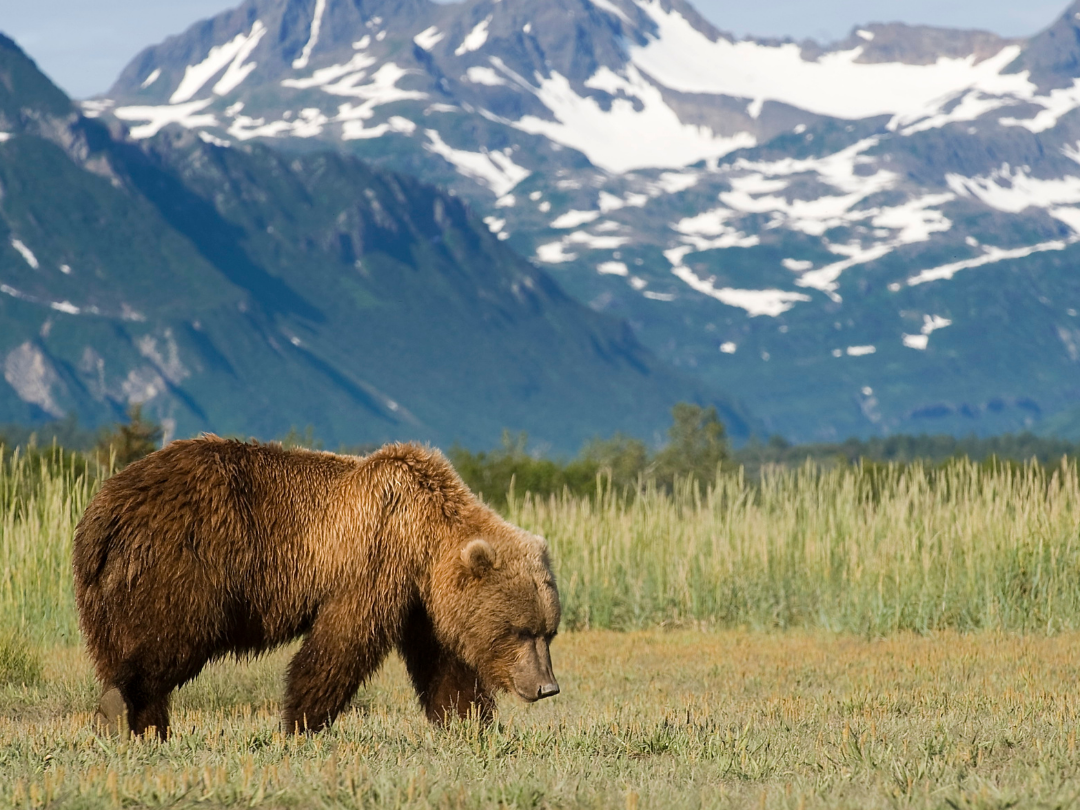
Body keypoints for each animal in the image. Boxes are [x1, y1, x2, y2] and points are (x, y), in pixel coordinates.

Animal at [72, 436, 560, 738]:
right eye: (520, 630)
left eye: (548, 632)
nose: (547, 687)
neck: (425, 537)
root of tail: (104, 507)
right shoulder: (374, 558)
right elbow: (340, 644)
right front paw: (300, 722)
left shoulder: (422, 602)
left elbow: (444, 666)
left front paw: (473, 724)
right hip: (185, 563)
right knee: (168, 638)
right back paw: (122, 711)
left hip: (109, 586)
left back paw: (144, 725)